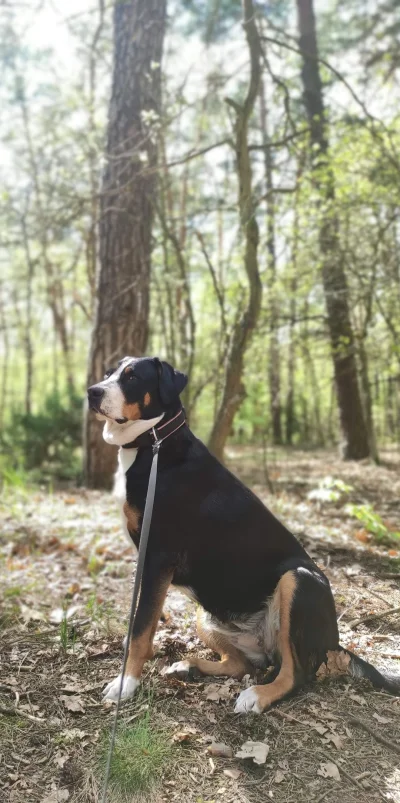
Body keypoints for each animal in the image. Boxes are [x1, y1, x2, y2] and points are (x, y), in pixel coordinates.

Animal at [88, 358, 400, 716]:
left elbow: (141, 630)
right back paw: (190, 667)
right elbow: (137, 624)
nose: (92, 392)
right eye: (109, 372)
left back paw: (257, 696)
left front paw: (126, 683)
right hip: (206, 615)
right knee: (242, 665)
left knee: (296, 674)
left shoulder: (158, 559)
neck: (156, 446)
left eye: (132, 377)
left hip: (299, 579)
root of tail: (333, 642)